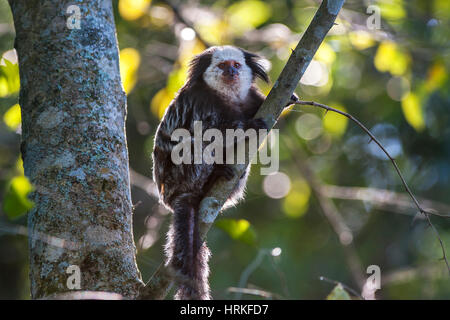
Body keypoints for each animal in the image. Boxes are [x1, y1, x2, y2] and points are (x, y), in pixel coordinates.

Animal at [153, 45, 298, 300]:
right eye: (222, 65)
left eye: (236, 65)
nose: (231, 72)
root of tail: (173, 196)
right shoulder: (200, 103)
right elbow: (209, 131)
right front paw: (245, 126)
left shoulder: (251, 100)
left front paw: (288, 100)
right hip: (179, 176)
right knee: (192, 143)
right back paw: (215, 173)